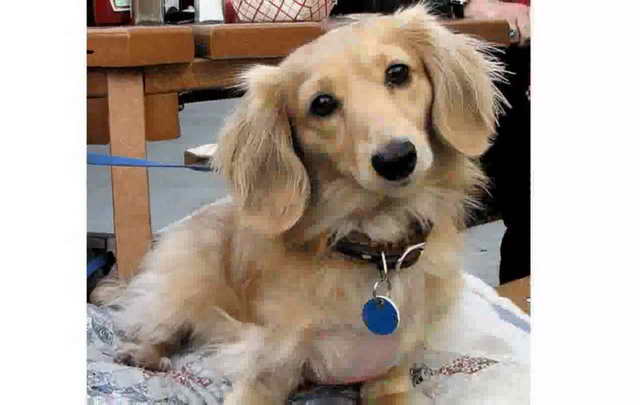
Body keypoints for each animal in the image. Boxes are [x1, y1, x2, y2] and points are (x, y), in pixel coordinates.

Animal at [92, 4, 508, 402]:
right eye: (321, 104)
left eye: (398, 72)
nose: (396, 158)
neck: (372, 248)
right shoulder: (266, 373)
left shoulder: (389, 376)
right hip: (184, 282)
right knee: (164, 322)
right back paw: (146, 351)